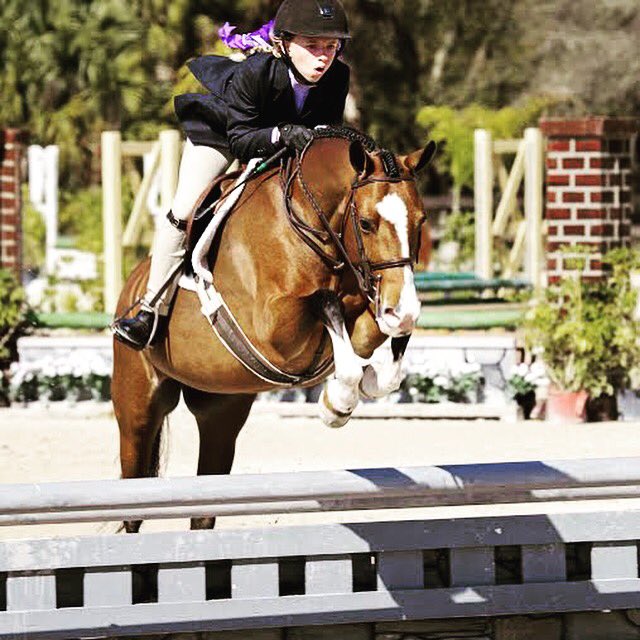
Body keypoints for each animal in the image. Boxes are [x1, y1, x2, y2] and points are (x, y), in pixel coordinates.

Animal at [112, 129, 435, 532]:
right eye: (366, 224)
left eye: (421, 221)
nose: (401, 308)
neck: (310, 223)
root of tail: (133, 285)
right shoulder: (275, 329)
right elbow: (326, 302)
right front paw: (337, 404)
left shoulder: (363, 307)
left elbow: (376, 350)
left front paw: (361, 382)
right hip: (138, 410)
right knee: (132, 504)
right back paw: (138, 323)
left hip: (221, 412)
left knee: (203, 509)